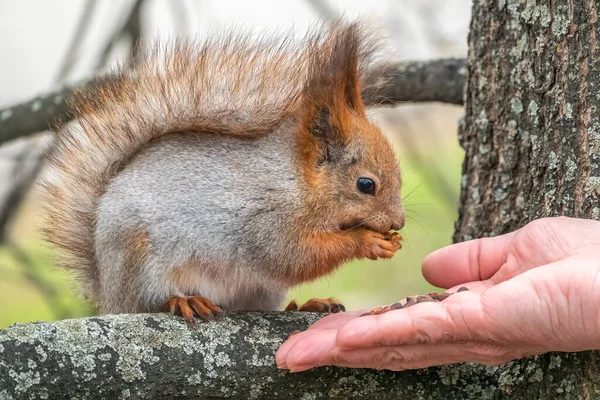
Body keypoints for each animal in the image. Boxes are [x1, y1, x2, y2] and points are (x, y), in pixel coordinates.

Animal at [44, 21, 406, 324]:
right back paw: (183, 302)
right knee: (150, 303)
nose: (399, 223)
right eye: (365, 184)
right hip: (139, 262)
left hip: (260, 290)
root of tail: (109, 293)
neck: (296, 181)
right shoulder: (267, 221)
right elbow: (292, 257)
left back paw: (305, 305)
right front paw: (366, 241)